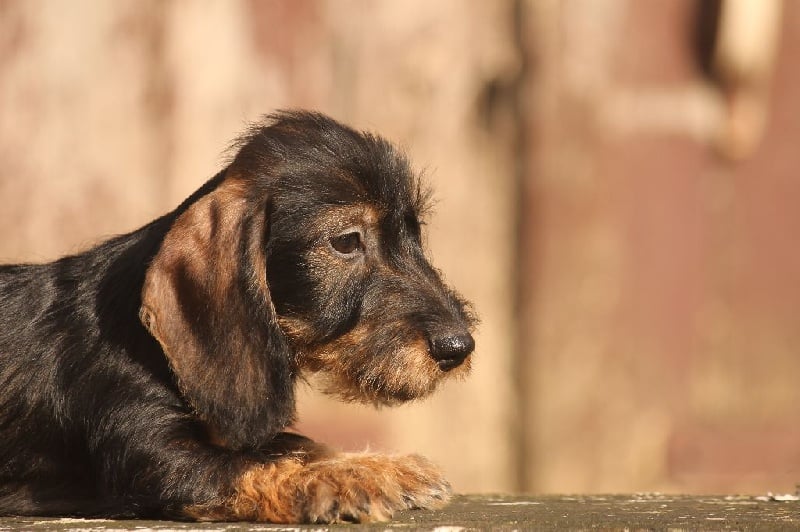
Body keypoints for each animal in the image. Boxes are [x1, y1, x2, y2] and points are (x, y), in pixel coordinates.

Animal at [0, 111, 476, 523]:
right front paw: (351, 479)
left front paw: (386, 466)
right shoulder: (156, 458)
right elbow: (255, 467)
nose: (459, 347)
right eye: (346, 241)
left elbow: (297, 444)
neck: (149, 343)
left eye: (415, 233)